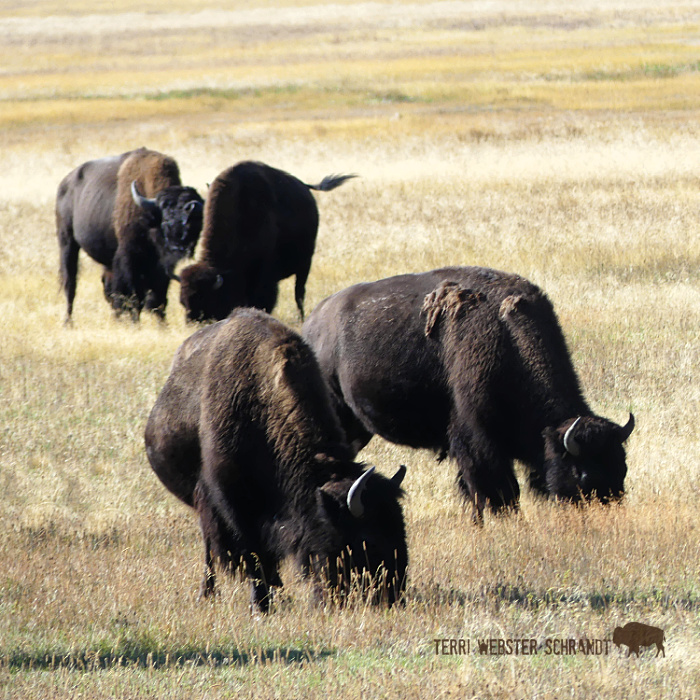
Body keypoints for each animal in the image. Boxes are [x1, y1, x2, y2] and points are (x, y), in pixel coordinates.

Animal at [56, 147, 203, 322]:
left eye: (195, 225)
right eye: (165, 222)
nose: (179, 249)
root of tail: (65, 183)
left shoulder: (162, 269)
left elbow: (157, 298)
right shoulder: (129, 259)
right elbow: (133, 296)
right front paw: (134, 322)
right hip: (67, 242)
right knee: (70, 284)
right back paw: (68, 322)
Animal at [145, 308, 407, 611]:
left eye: (400, 529)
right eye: (367, 541)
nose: (394, 596)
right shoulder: (235, 505)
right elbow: (254, 554)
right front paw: (260, 605)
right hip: (204, 505)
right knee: (211, 549)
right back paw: (208, 594)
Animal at [178, 161, 355, 323]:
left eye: (205, 299)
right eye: (183, 301)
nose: (192, 321)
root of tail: (305, 187)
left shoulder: (265, 273)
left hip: (305, 263)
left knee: (299, 293)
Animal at [302, 266, 634, 522]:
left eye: (622, 468)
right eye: (585, 476)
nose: (608, 516)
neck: (509, 341)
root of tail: (311, 324)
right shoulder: (477, 442)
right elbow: (495, 490)